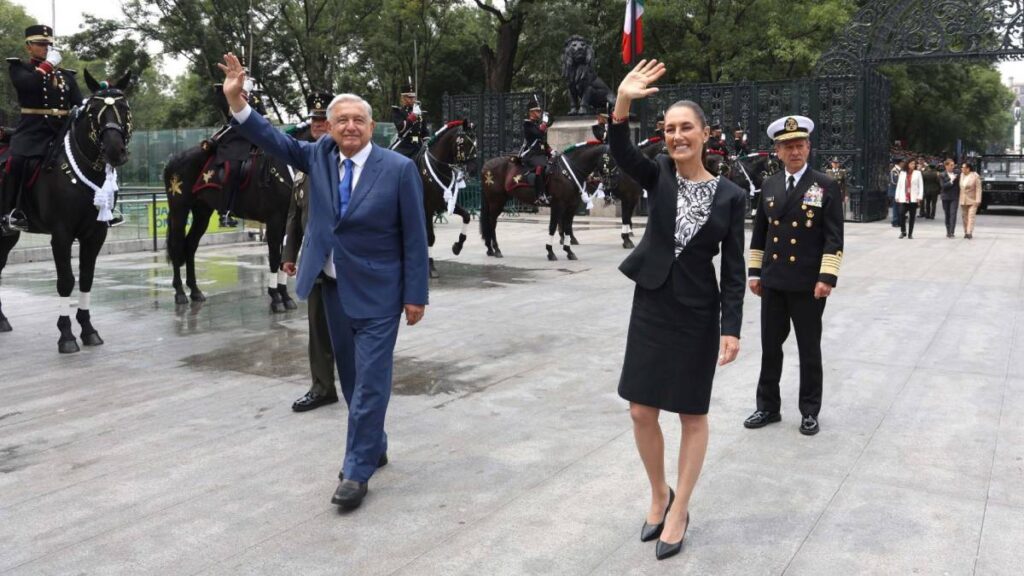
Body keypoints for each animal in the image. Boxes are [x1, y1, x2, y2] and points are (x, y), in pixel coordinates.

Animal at [0, 70, 133, 350]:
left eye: (125, 108)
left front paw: (88, 329)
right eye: (93, 112)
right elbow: (66, 281)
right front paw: (67, 335)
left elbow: (86, 277)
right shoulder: (61, 234)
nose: (115, 151)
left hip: (8, 235)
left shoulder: (96, 234)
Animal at [161, 120, 294, 311]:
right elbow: (275, 257)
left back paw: (195, 290)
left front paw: (285, 296)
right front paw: (276, 297)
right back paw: (179, 292)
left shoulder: (286, 221)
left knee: (190, 246)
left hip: (202, 212)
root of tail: (173, 159)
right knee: (177, 245)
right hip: (180, 208)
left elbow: (285, 257)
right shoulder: (275, 220)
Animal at [413, 118, 477, 276]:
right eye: (463, 143)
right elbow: (430, 236)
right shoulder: (427, 208)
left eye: (476, 142)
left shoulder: (444, 203)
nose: (473, 169)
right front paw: (430, 266)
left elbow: (467, 216)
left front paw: (458, 246)